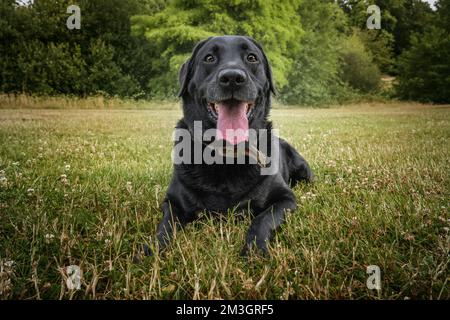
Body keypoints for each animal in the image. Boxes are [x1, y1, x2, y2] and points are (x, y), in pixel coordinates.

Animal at [148, 35, 312, 256]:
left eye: (251, 57)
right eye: (209, 58)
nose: (232, 77)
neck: (227, 155)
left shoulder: (285, 199)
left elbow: (263, 219)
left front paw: (255, 250)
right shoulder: (172, 202)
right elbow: (165, 226)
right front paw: (152, 251)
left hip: (303, 170)